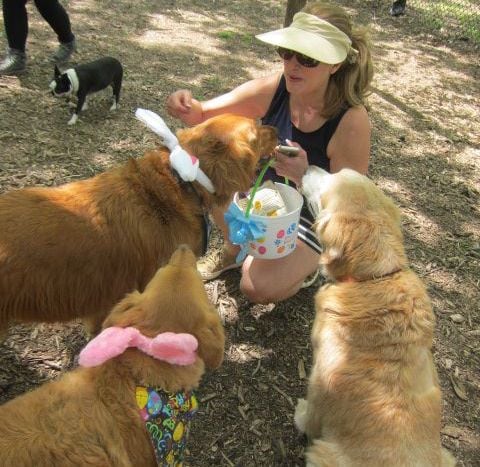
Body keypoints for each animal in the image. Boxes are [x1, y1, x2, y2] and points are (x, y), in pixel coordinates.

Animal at [296, 168, 458, 467]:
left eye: (327, 185)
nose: (307, 167)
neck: (375, 278)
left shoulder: (319, 379)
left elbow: (312, 413)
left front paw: (300, 416)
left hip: (323, 454)